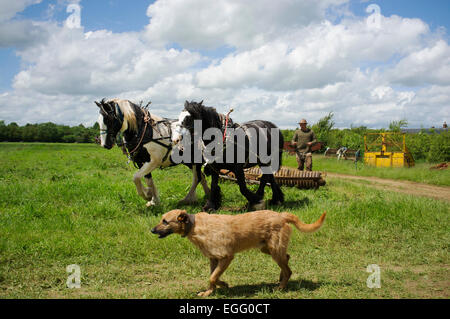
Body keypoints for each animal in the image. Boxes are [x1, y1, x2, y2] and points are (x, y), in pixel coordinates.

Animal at [153, 210, 326, 298]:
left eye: (165, 221)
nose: (152, 230)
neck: (194, 226)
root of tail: (282, 215)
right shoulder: (213, 259)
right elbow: (212, 277)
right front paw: (211, 290)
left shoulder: (226, 257)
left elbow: (212, 277)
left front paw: (222, 285)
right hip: (269, 249)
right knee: (287, 259)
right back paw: (280, 278)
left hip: (274, 251)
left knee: (288, 269)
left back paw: (281, 286)